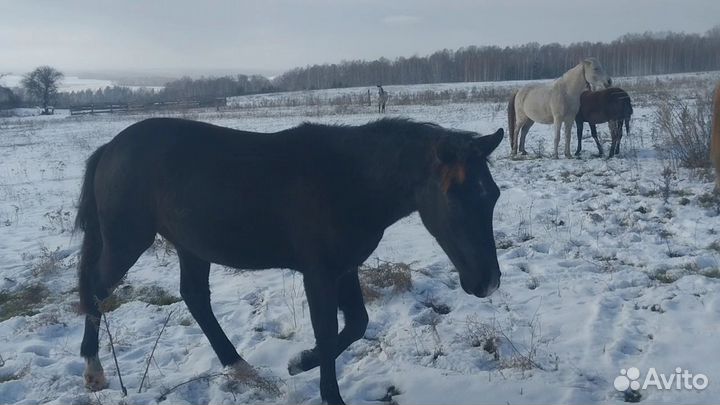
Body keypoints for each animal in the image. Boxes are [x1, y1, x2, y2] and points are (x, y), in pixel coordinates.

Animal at [75, 117, 504, 404]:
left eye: (494, 194)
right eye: (453, 196)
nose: (487, 282)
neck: (349, 180)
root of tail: (110, 148)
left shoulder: (344, 268)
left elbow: (356, 325)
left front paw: (300, 362)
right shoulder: (318, 274)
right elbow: (329, 333)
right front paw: (325, 389)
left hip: (190, 246)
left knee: (195, 298)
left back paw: (239, 365)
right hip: (127, 241)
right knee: (95, 290)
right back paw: (93, 370)